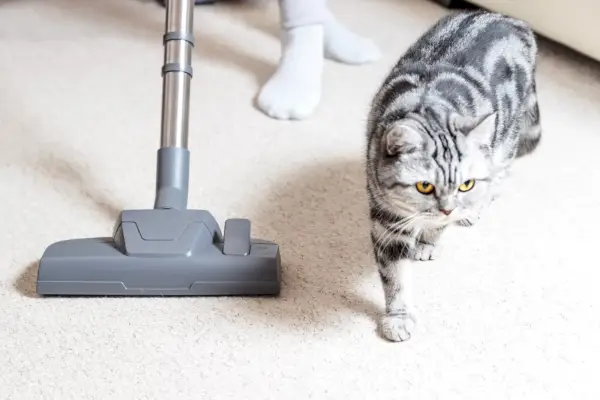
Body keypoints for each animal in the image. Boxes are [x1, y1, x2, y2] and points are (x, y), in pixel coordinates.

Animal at [366, 10, 544, 342]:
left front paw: (429, 241)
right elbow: (395, 277)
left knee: (501, 175)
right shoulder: (387, 220)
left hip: (506, 139)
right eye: (424, 186)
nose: (448, 209)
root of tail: (511, 18)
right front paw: (398, 317)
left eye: (466, 184)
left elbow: (438, 229)